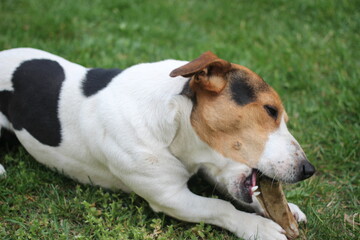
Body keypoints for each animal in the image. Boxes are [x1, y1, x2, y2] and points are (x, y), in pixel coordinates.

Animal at [0, 48, 316, 240]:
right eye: (270, 111)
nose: (308, 169)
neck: (174, 124)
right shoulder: (170, 197)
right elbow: (220, 207)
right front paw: (259, 227)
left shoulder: (211, 167)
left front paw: (287, 209)